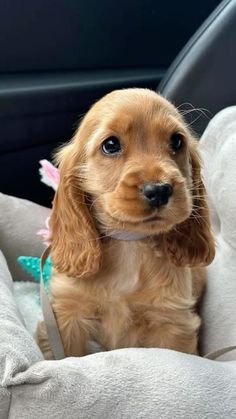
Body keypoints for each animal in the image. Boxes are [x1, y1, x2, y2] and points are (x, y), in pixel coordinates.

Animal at [36, 87, 214, 360]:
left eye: (176, 141)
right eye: (111, 145)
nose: (159, 190)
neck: (129, 243)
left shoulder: (172, 321)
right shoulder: (66, 314)